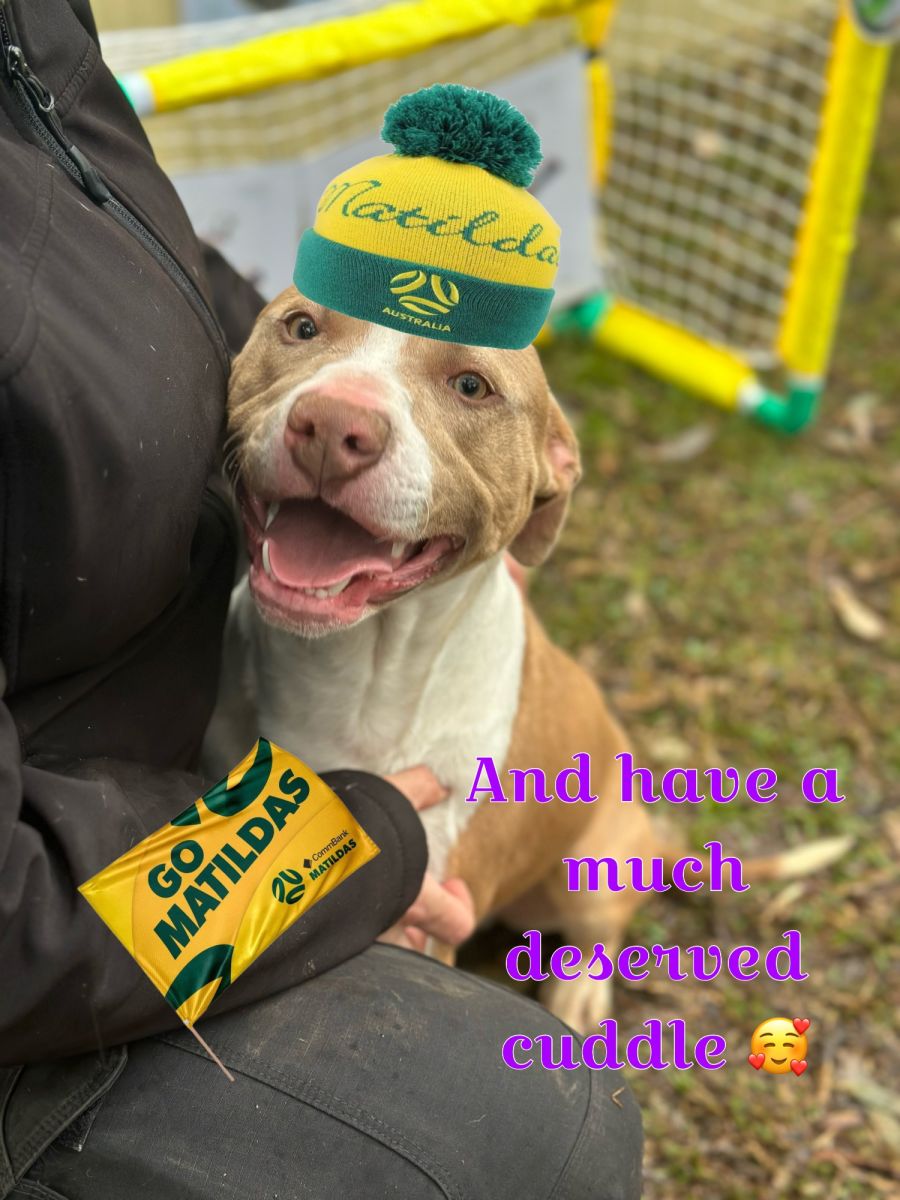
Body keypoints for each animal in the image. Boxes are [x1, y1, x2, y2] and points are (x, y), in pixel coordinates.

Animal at [205, 287, 847, 1031]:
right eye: (302, 326)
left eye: (471, 385)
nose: (335, 425)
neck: (355, 673)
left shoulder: (422, 918)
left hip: (592, 866)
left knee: (603, 927)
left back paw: (580, 990)